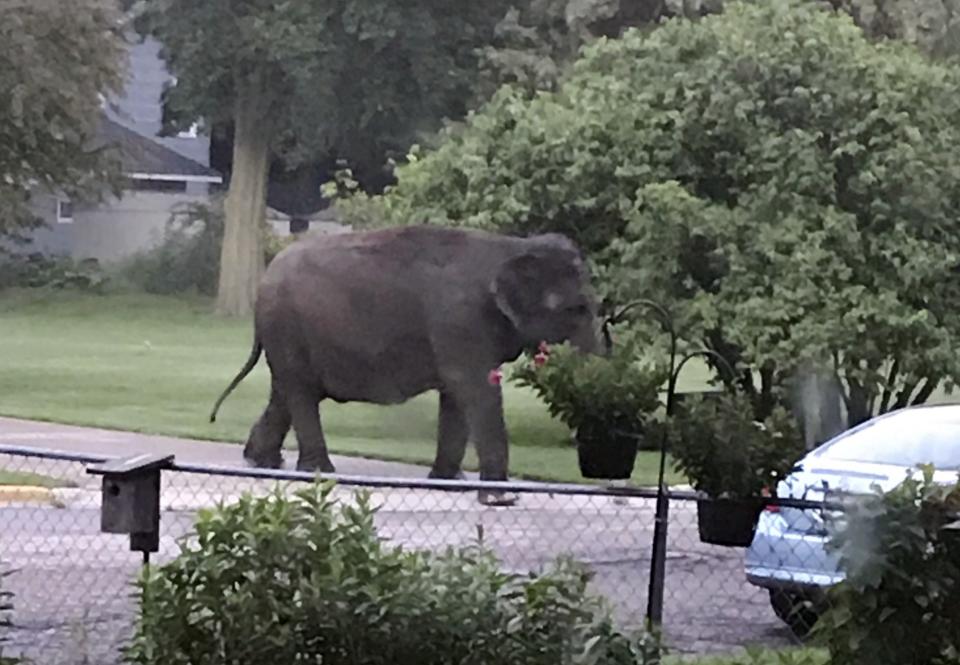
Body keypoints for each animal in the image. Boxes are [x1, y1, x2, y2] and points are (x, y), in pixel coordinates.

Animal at [210, 226, 600, 500]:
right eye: (577, 308)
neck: (513, 246)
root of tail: (263, 281)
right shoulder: (461, 320)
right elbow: (474, 389)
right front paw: (498, 499)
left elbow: (456, 396)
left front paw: (449, 483)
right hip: (287, 327)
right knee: (300, 395)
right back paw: (318, 473)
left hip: (288, 334)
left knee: (286, 393)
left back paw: (262, 464)